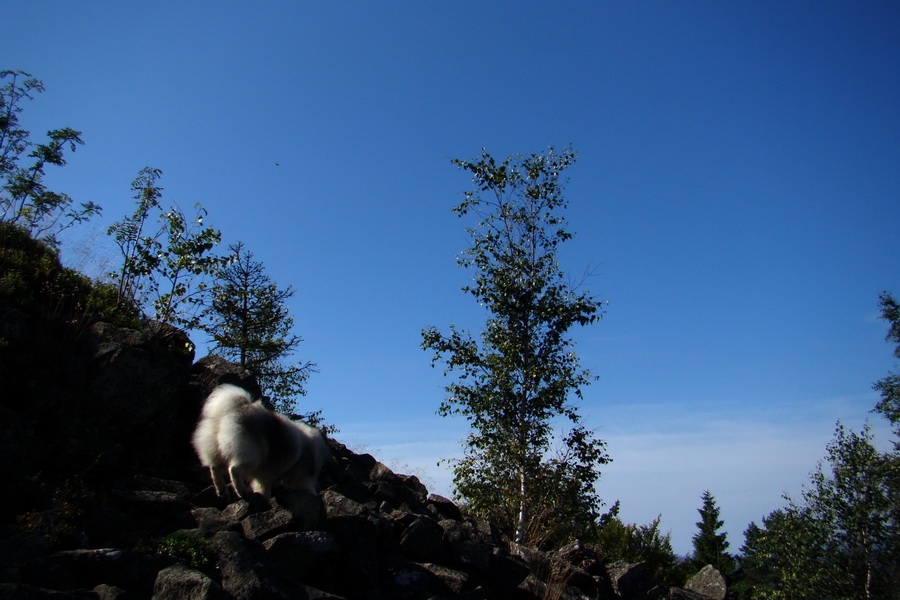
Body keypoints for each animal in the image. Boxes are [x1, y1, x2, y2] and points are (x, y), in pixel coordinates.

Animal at [192, 382, 328, 500]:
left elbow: (264, 491)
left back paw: (222, 492)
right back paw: (243, 491)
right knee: (234, 470)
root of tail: (235, 408)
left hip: (218, 453)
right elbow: (310, 489)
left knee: (214, 468)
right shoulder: (301, 476)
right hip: (251, 457)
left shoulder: (263, 479)